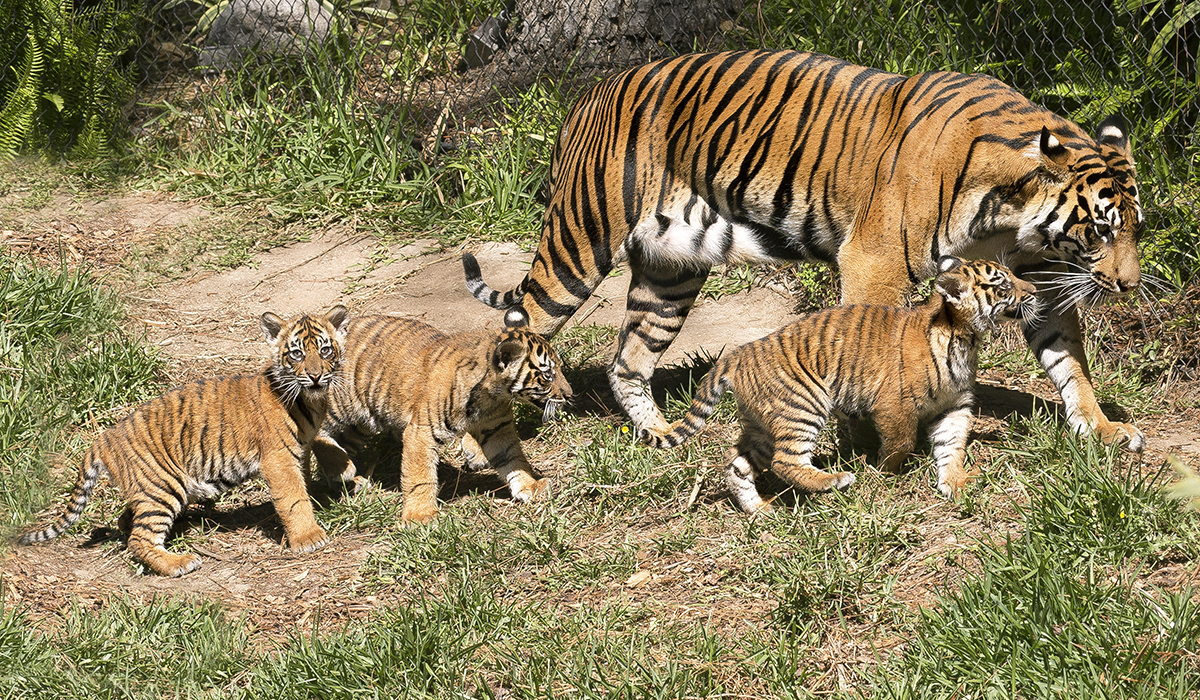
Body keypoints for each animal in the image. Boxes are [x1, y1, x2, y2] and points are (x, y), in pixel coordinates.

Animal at [458, 51, 1142, 451]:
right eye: (1102, 230)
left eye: (1136, 228)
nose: (1131, 285)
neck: (1011, 211)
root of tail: (586, 96)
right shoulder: (874, 262)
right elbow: (870, 343)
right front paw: (868, 440)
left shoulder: (1040, 278)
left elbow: (1068, 361)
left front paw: (1102, 428)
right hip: (578, 245)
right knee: (517, 324)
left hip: (669, 274)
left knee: (627, 361)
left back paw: (661, 434)